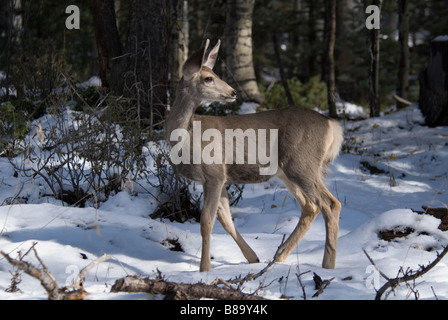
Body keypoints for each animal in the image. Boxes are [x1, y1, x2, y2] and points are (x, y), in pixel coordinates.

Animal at [164, 38, 344, 272]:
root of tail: (332, 125)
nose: (233, 92)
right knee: (310, 207)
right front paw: (253, 257)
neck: (186, 136)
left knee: (330, 204)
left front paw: (204, 270)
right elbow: (226, 220)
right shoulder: (219, 177)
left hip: (302, 164)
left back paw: (327, 265)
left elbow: (206, 222)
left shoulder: (215, 172)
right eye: (209, 78)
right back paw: (280, 255)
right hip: (288, 171)